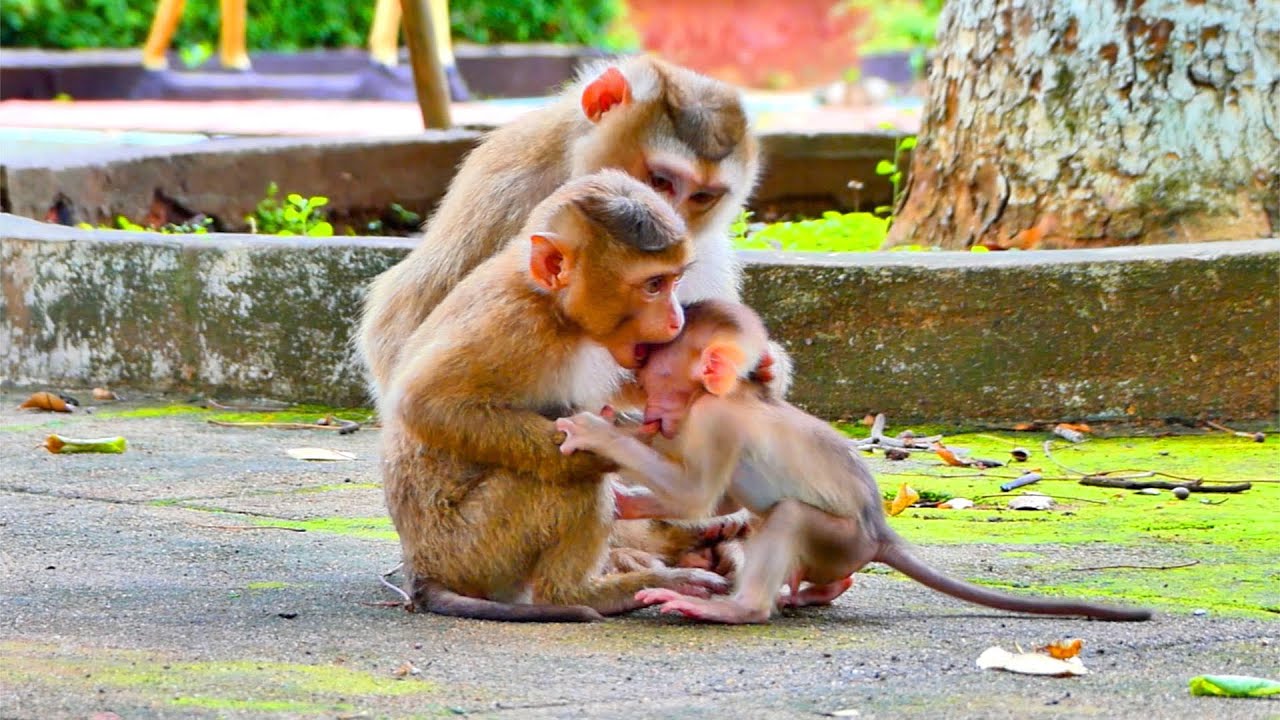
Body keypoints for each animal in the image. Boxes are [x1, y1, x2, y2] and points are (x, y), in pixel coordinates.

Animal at [382, 171, 731, 622]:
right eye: (654, 285)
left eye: (674, 281)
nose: (677, 319)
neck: (554, 310)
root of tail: (421, 570)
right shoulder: (514, 328)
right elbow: (425, 403)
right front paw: (610, 447)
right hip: (470, 549)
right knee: (568, 480)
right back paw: (583, 593)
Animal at [555, 300, 1154, 624]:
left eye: (653, 379)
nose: (650, 410)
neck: (731, 393)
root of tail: (880, 534)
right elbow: (714, 498)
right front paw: (630, 503)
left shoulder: (714, 420)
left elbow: (698, 494)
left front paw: (598, 431)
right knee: (776, 527)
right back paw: (819, 591)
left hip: (839, 537)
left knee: (788, 516)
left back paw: (741, 607)